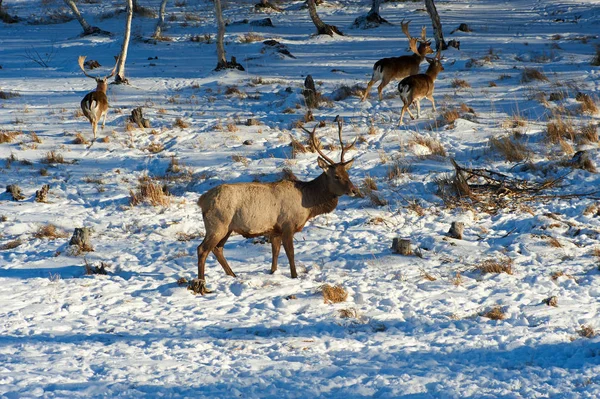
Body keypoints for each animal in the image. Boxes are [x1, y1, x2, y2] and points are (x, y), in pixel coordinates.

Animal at [192, 117, 358, 296]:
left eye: (347, 174)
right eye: (336, 176)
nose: (354, 190)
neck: (308, 204)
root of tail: (202, 200)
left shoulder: (275, 230)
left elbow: (275, 254)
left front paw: (273, 273)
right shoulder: (287, 225)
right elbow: (290, 254)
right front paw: (294, 276)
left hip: (227, 228)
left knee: (217, 249)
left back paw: (233, 275)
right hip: (217, 224)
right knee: (202, 249)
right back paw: (202, 285)